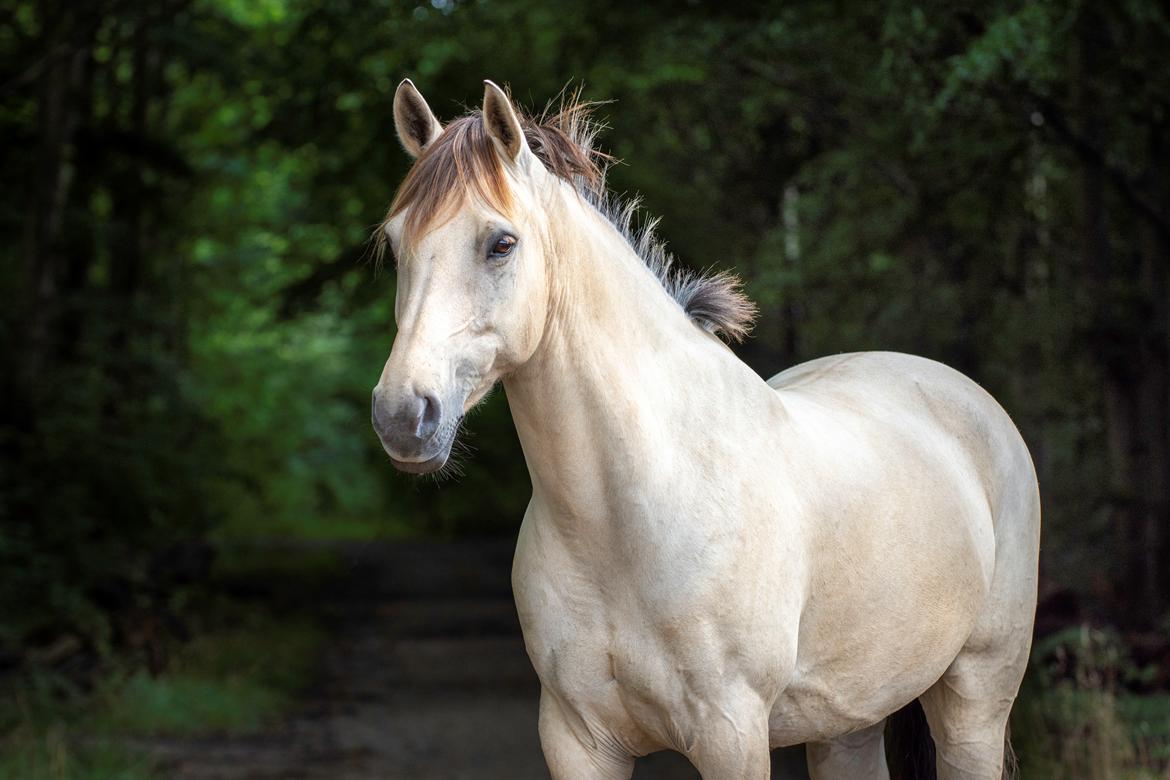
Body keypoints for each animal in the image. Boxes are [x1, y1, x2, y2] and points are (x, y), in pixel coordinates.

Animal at [369, 80, 1038, 780]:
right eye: (396, 242)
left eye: (501, 243)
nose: (402, 415)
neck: (628, 515)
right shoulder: (576, 737)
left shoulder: (730, 733)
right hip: (848, 719)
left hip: (975, 698)